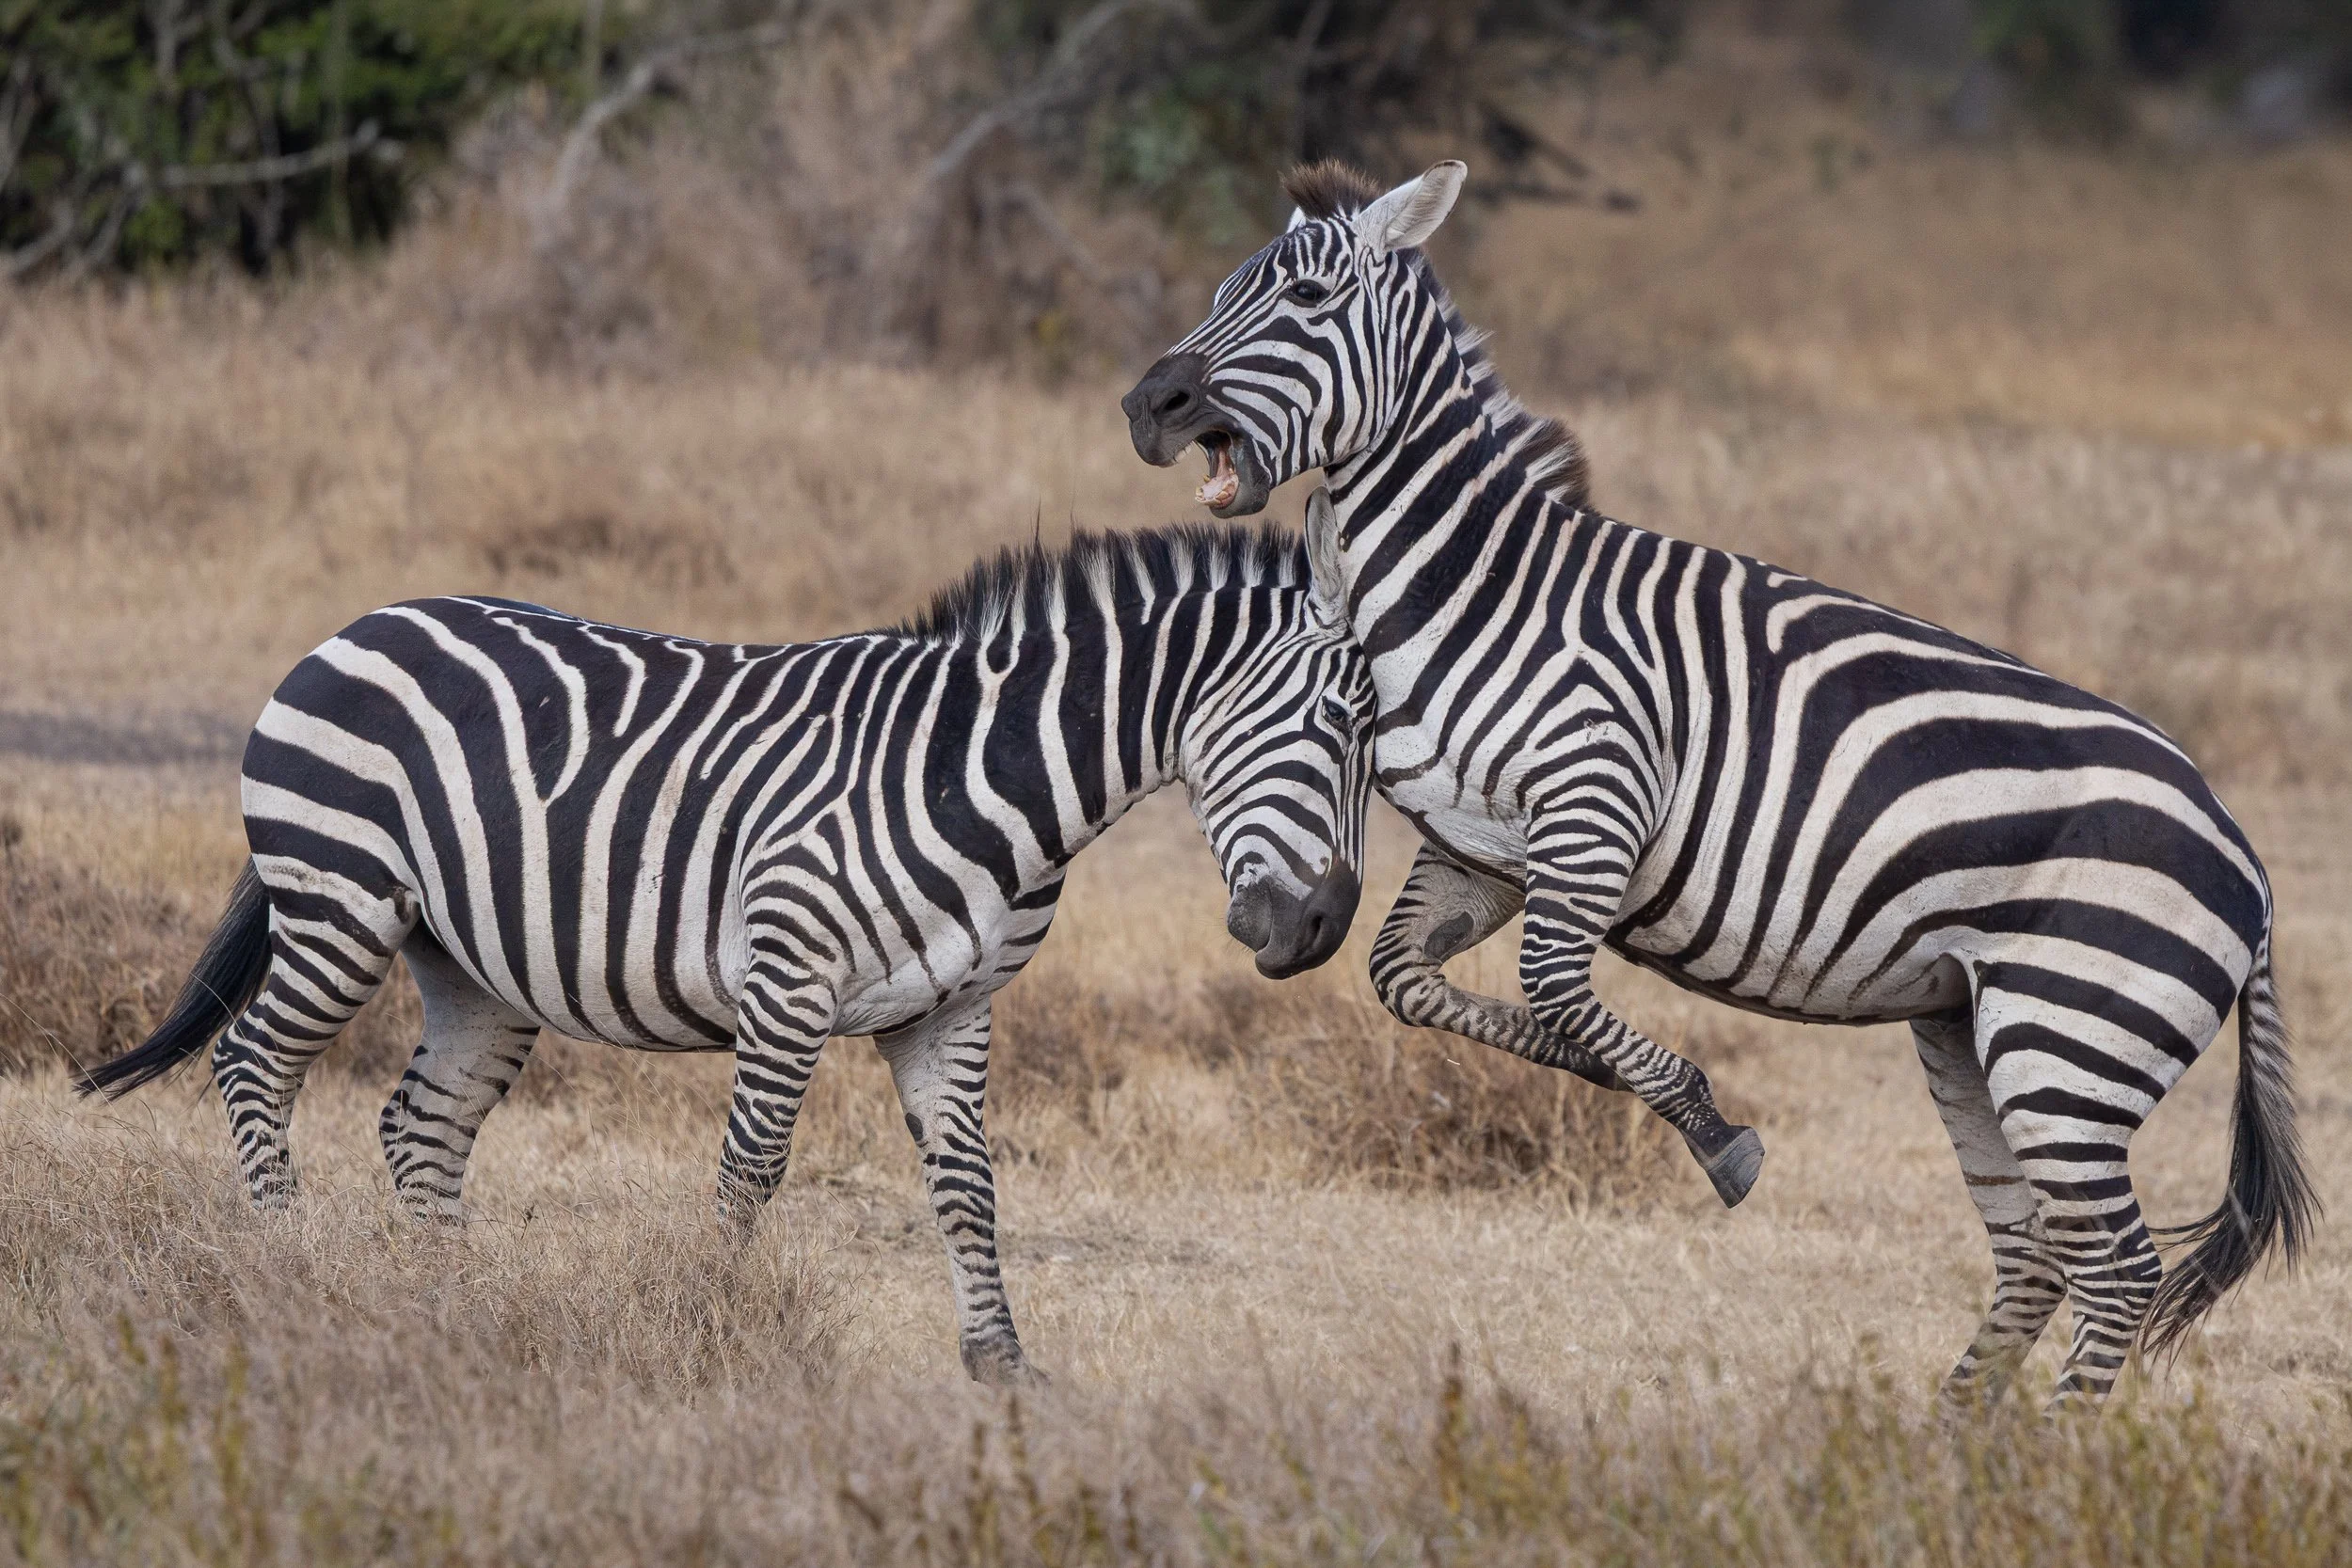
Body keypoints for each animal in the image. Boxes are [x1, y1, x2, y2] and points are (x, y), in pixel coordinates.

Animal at [77, 521, 1376, 1384]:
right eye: (1337, 724)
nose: (1318, 929)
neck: (980, 771)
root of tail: (357, 624)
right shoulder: (789, 975)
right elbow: (749, 1171)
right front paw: (715, 1329)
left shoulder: (952, 1009)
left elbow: (969, 1185)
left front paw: (1001, 1359)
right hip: (339, 899)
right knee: (254, 1064)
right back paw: (288, 1270)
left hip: (471, 967)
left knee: (420, 1124)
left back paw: (447, 1306)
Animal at [1119, 159, 2316, 1412]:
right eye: (1222, 289)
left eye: (1304, 297)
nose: (1149, 405)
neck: (1471, 588)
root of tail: (2248, 862)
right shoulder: (1476, 849)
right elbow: (1410, 979)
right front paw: (1638, 1090)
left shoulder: (1595, 797)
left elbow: (1553, 983)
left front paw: (1706, 1125)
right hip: (1972, 1024)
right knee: (2035, 1247)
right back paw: (1948, 1445)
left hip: (2072, 1033)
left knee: (2119, 1265)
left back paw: (2051, 1453)